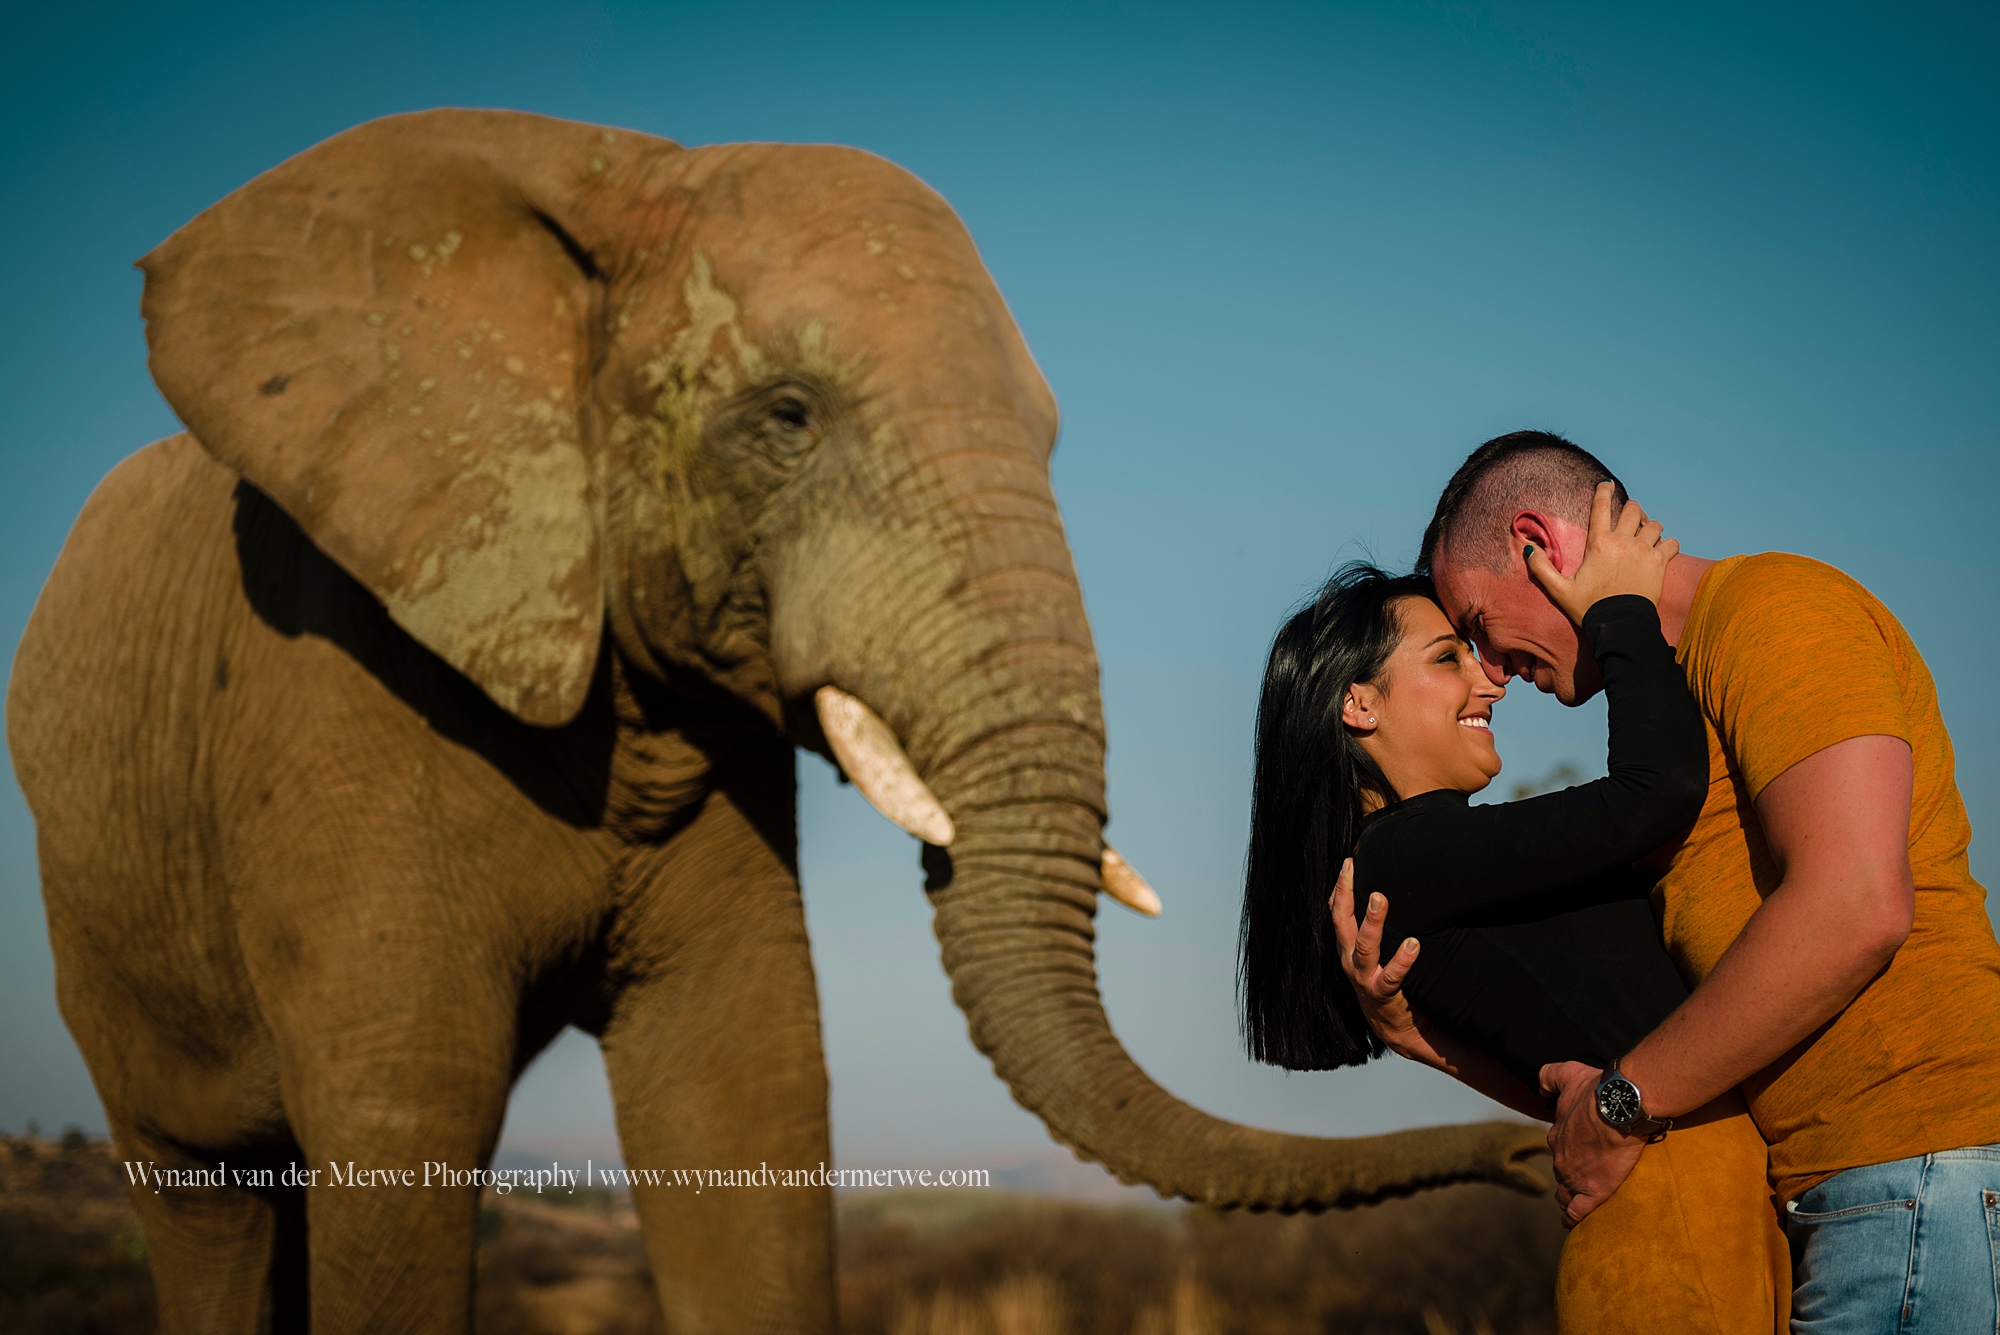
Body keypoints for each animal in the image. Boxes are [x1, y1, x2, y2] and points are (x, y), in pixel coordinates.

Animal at [3, 111, 1544, 1335]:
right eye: (788, 415)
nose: (1533, 1160)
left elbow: (741, 1094)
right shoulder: (337, 685)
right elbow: (405, 1114)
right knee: (202, 1196)